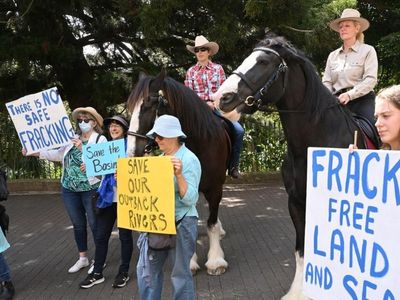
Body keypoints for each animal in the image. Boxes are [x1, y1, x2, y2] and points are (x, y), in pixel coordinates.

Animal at [126, 71, 231, 276]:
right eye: (129, 109)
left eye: (148, 105)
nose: (132, 152)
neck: (200, 141)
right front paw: (189, 262)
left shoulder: (215, 188)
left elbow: (212, 223)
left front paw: (216, 261)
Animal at [217, 36, 370, 298]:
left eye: (263, 61)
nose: (222, 98)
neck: (310, 145)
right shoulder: (296, 203)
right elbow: (301, 249)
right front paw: (300, 291)